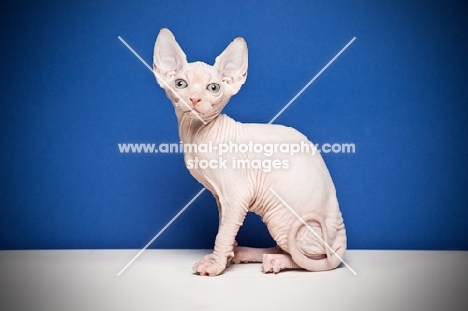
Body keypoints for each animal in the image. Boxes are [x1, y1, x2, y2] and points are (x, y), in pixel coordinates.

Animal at [152, 27, 346, 276]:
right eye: (180, 84)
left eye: (213, 88)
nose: (194, 99)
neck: (196, 134)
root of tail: (341, 234)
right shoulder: (220, 196)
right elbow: (225, 226)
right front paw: (226, 257)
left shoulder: (236, 195)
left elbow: (224, 232)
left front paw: (215, 265)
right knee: (285, 248)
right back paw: (246, 253)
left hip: (281, 216)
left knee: (307, 258)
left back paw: (275, 261)